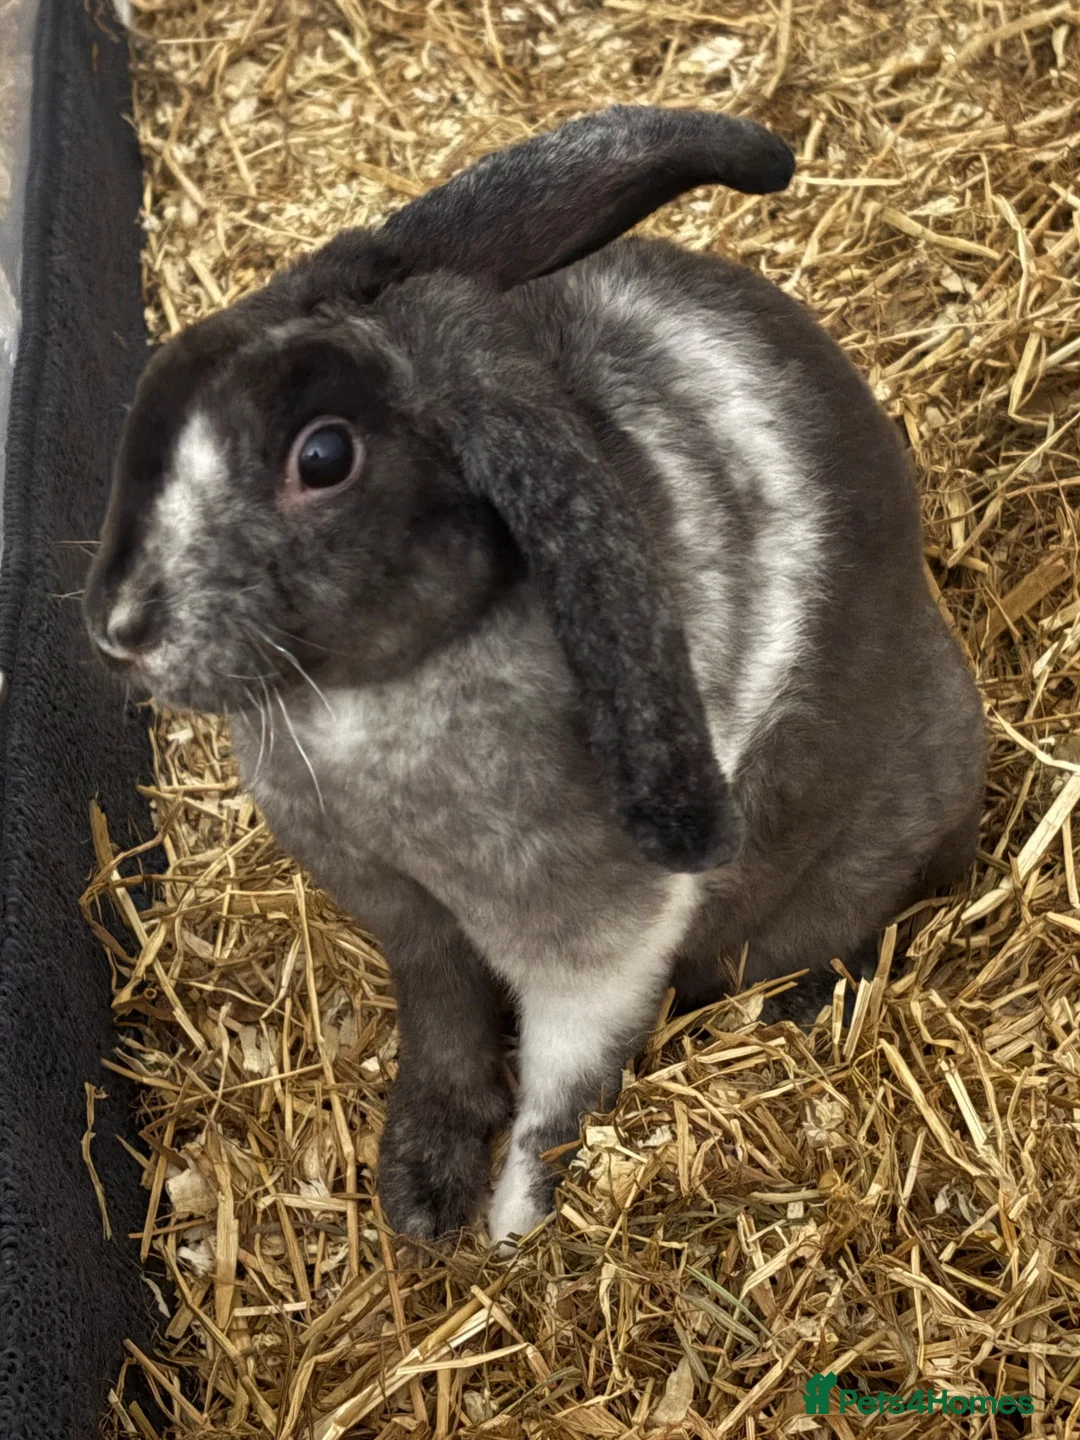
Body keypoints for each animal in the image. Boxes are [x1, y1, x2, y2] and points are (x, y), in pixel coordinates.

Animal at [85, 106, 986, 1245]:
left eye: (323, 457)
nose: (120, 630)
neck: (371, 704)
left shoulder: (600, 953)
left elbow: (560, 1088)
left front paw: (516, 1227)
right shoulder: (408, 922)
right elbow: (446, 1030)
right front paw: (420, 1193)